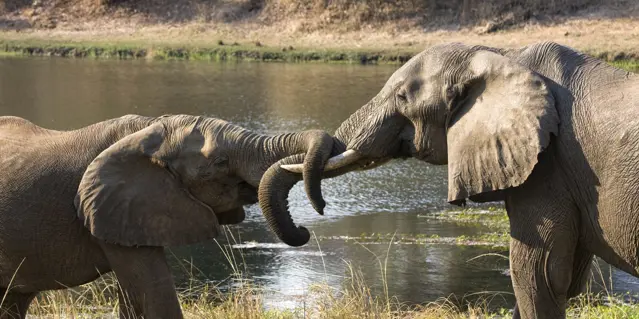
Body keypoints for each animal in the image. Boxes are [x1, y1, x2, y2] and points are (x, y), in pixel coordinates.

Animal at [258, 41, 639, 318]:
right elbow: (561, 280)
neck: (499, 57)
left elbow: (539, 274)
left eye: (402, 98)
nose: (307, 227)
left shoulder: (548, 167)